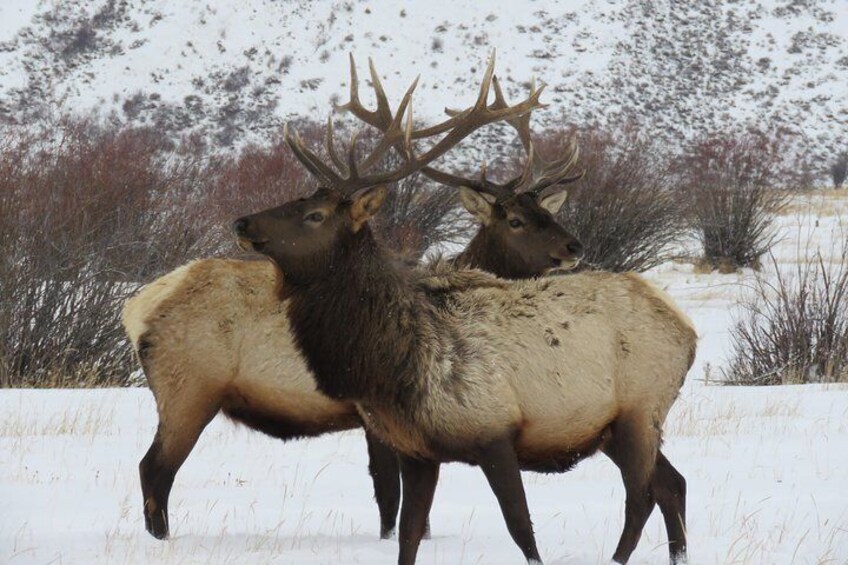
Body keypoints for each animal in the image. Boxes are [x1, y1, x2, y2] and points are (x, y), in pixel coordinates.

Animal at [232, 54, 696, 564]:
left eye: (314, 215)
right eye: (298, 199)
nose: (242, 221)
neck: (390, 366)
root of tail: (686, 329)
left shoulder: (495, 432)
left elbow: (522, 530)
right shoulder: (415, 450)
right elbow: (409, 534)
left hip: (641, 410)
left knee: (642, 496)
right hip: (613, 426)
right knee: (672, 483)